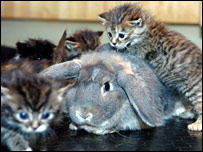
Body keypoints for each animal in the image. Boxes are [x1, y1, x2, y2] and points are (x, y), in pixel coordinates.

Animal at [99, 2, 202, 131]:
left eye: (121, 35)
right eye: (109, 34)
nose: (113, 42)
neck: (147, 30)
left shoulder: (138, 51)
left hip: (195, 89)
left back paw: (198, 123)